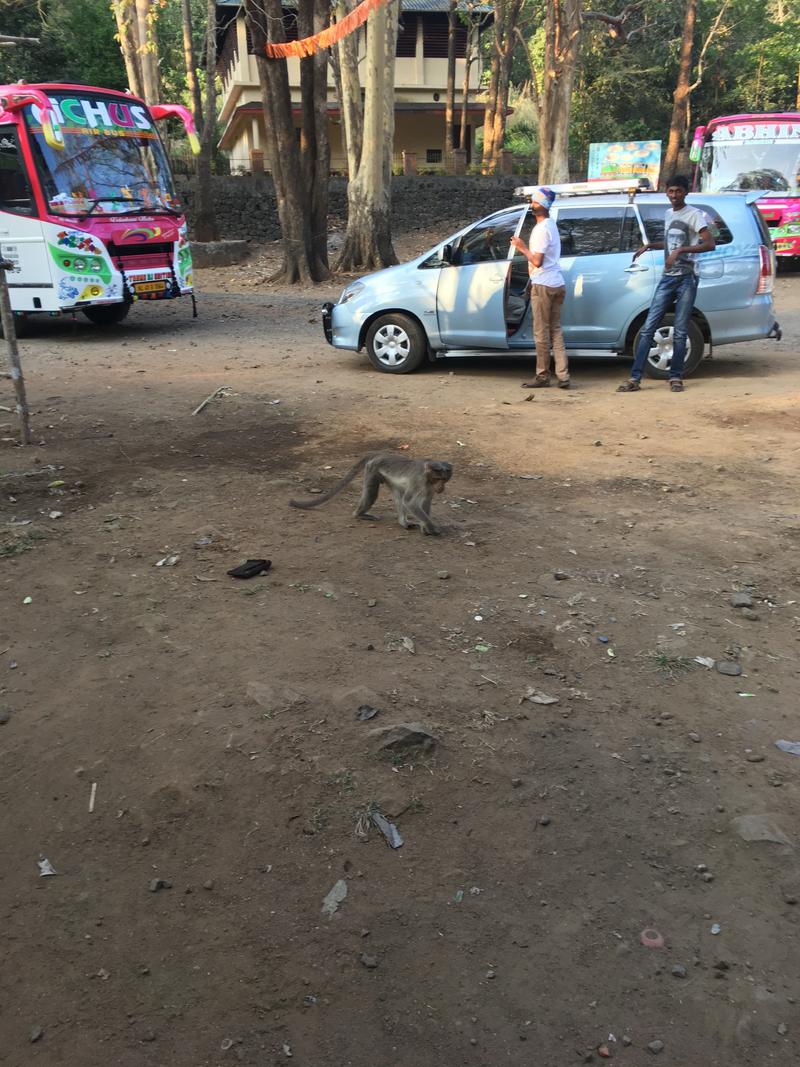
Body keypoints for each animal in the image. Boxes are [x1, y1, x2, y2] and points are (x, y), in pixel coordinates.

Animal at [290, 450, 454, 533]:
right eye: (437, 478)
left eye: (444, 479)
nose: (441, 487)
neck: (427, 477)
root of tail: (380, 454)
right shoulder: (418, 480)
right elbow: (410, 502)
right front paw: (430, 527)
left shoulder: (428, 487)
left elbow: (425, 501)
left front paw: (425, 526)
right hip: (372, 470)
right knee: (372, 494)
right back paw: (359, 514)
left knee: (398, 495)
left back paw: (403, 522)